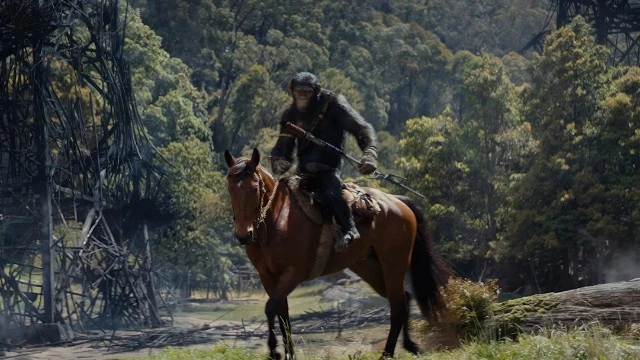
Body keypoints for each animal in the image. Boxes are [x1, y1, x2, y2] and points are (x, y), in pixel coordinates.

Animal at [224, 148, 444, 358]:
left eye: (254, 188)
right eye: (230, 188)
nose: (243, 235)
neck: (277, 219)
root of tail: (398, 202)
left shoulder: (293, 273)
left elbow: (271, 308)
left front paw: (273, 351)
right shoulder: (268, 277)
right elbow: (282, 315)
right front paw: (286, 353)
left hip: (394, 264)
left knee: (398, 306)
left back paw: (388, 353)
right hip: (369, 267)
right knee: (403, 298)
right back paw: (409, 345)